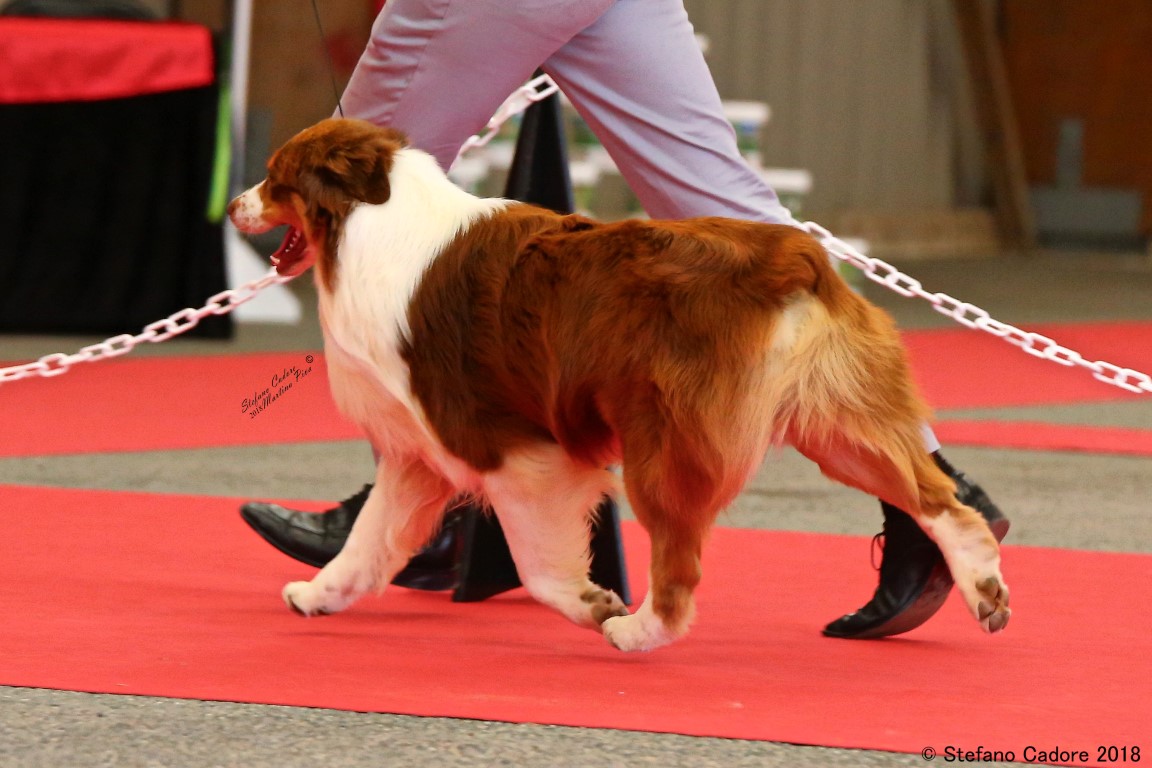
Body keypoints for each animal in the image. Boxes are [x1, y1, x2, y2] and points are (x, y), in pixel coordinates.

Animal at [226, 117, 1009, 654]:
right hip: (838, 419)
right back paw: (981, 590)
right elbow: (368, 541)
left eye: (274, 177)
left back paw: (638, 631)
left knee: (681, 567)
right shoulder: (420, 448)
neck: (370, 217)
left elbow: (537, 565)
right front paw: (318, 593)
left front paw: (593, 602)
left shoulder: (507, 447)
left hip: (667, 441)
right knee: (941, 501)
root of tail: (788, 257)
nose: (233, 205)